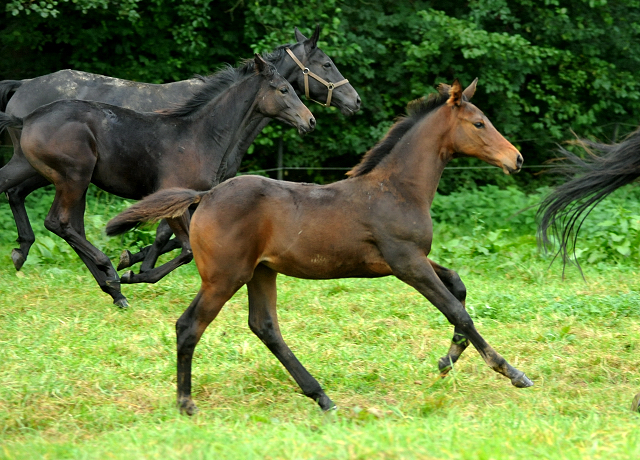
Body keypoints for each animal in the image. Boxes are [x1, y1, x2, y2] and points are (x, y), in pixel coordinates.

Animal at [0, 54, 316, 310]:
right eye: (283, 89)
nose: (310, 121)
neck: (199, 136)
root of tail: (26, 119)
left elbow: (179, 244)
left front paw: (132, 269)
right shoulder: (172, 199)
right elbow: (186, 249)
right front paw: (132, 273)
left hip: (48, 173)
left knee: (56, 217)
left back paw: (111, 289)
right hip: (74, 176)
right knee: (59, 222)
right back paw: (109, 273)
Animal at [107, 79, 532, 414]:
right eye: (479, 123)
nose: (517, 158)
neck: (397, 189)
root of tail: (205, 195)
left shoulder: (410, 259)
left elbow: (458, 286)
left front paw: (447, 360)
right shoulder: (406, 262)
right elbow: (458, 311)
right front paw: (510, 371)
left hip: (260, 272)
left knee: (265, 327)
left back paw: (321, 396)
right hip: (224, 277)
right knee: (189, 325)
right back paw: (186, 402)